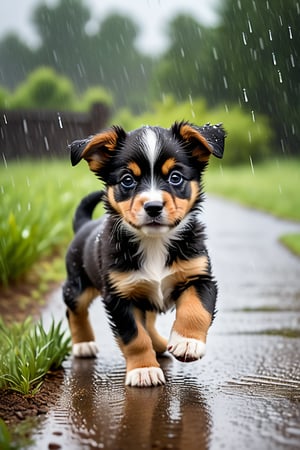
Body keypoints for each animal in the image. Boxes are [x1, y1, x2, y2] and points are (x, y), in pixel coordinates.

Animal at [63, 120, 224, 386]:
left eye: (175, 177)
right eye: (128, 180)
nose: (153, 207)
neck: (154, 242)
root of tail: (84, 225)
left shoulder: (199, 276)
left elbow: (196, 310)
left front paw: (187, 342)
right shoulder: (119, 296)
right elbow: (134, 336)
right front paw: (144, 370)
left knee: (149, 321)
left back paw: (160, 345)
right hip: (78, 284)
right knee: (74, 309)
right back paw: (84, 344)